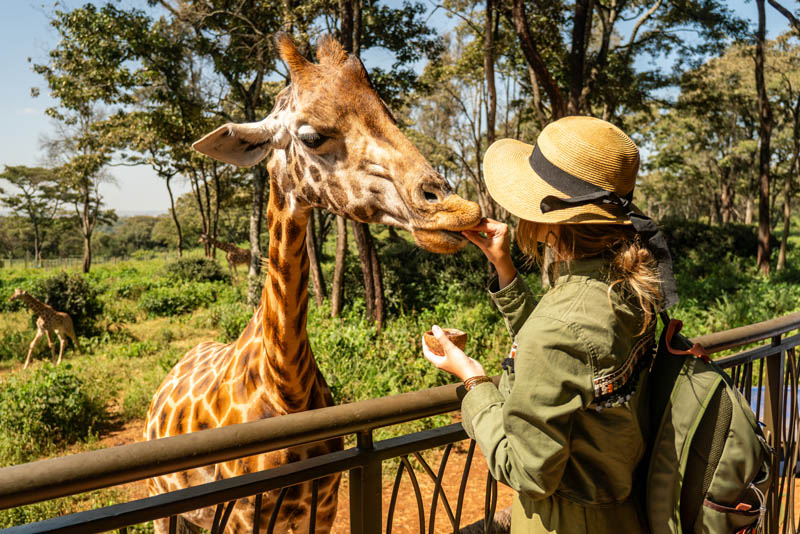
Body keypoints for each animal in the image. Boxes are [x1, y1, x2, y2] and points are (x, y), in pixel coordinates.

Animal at [144, 33, 482, 534]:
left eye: (390, 115)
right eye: (312, 136)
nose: (455, 209)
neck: (286, 388)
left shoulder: (323, 506)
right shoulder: (242, 517)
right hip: (164, 504)